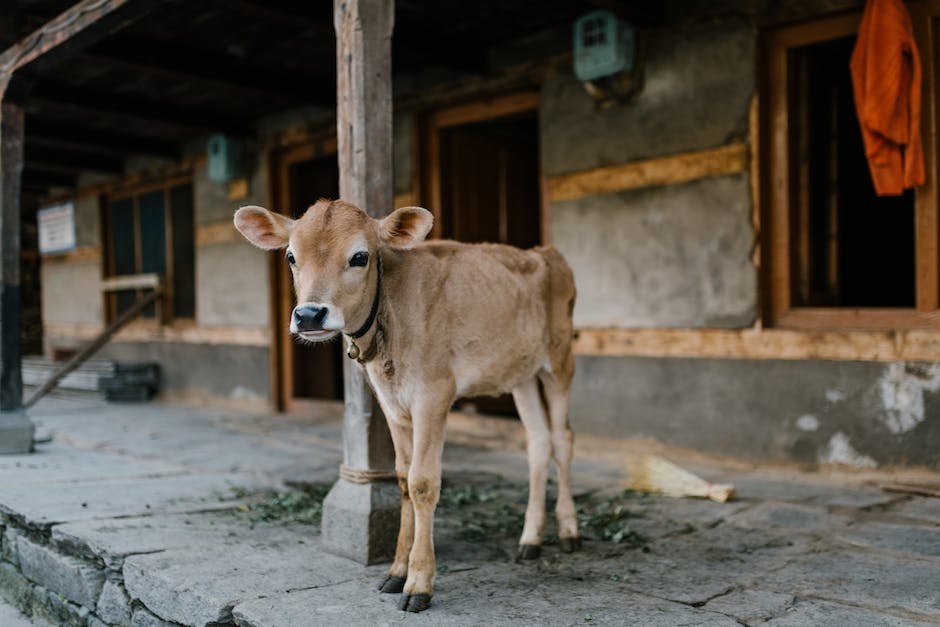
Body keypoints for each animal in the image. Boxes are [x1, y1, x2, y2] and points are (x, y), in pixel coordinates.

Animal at [233, 200, 580, 612]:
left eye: (360, 256)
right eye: (290, 256)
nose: (309, 315)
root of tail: (544, 252)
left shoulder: (434, 393)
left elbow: (422, 482)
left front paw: (419, 583)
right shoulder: (391, 402)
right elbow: (401, 478)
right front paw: (396, 571)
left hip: (559, 361)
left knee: (562, 439)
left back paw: (569, 530)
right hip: (520, 374)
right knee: (538, 441)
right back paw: (530, 539)